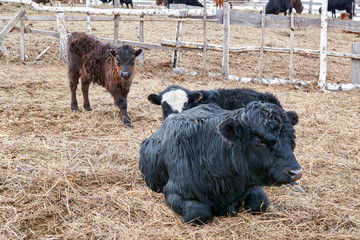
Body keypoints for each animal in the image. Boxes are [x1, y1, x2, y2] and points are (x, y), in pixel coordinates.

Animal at [139, 101, 302, 225]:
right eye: (260, 140)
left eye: (291, 136)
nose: (295, 172)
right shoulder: (174, 192)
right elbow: (199, 213)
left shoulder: (252, 184)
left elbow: (261, 203)